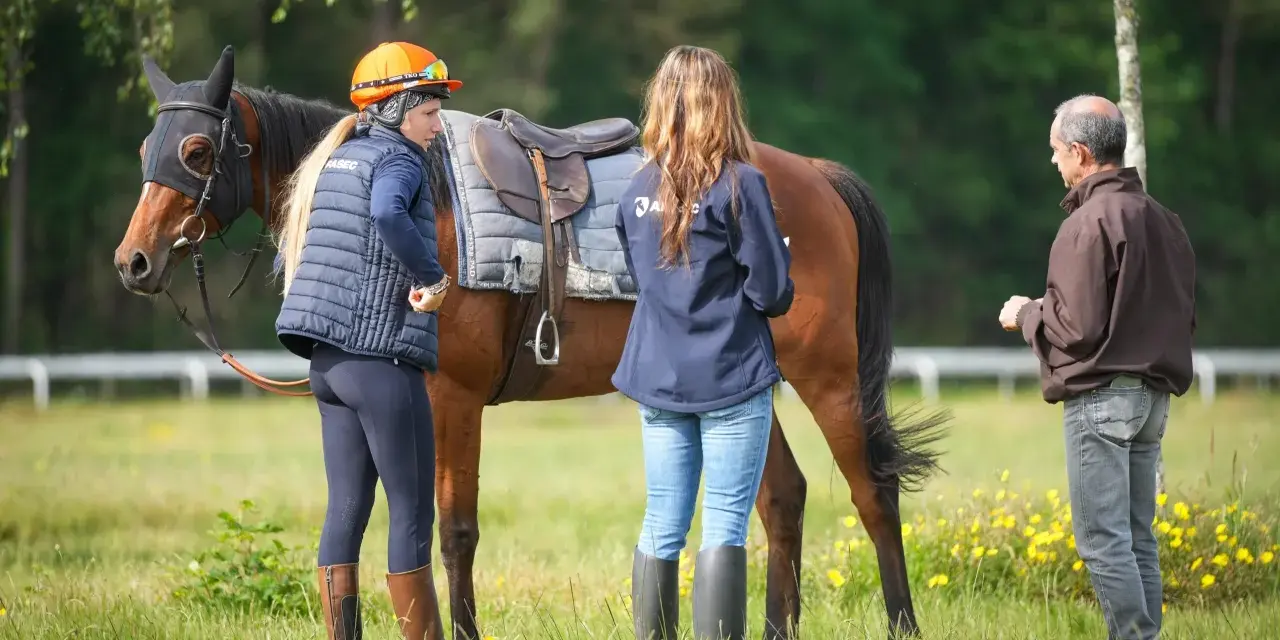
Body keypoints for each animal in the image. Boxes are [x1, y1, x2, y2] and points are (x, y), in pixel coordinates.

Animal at [112, 45, 948, 639]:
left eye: (195, 152)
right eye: (146, 146)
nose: (134, 261)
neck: (427, 199)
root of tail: (815, 175)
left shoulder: (452, 401)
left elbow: (452, 533)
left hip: (827, 376)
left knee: (871, 492)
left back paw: (903, 623)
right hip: (745, 384)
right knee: (782, 497)